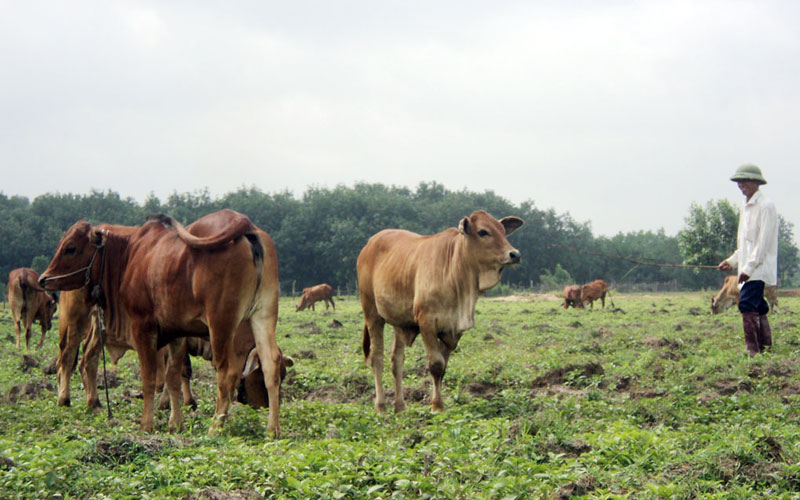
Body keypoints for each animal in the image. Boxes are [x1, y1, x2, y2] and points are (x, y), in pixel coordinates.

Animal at [39, 209, 290, 436]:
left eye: (70, 247)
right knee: (270, 364)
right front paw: (175, 423)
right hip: (263, 315)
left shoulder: (143, 326)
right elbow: (173, 378)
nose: (44, 279)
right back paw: (273, 429)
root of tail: (247, 227)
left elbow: (150, 377)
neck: (128, 254)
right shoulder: (176, 333)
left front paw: (146, 424)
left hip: (221, 323)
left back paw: (215, 427)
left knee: (227, 371)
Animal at [358, 209, 524, 412]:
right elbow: (436, 365)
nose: (514, 254)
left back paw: (400, 406)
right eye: (483, 232)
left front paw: (439, 404)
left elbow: (443, 367)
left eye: (503, 230)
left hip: (399, 322)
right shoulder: (426, 322)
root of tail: (369, 243)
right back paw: (381, 406)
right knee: (377, 358)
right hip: (372, 314)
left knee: (396, 361)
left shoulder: (454, 329)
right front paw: (436, 406)